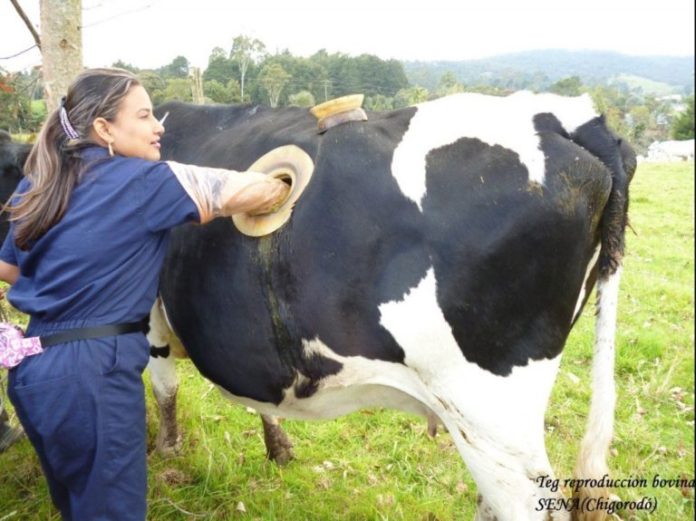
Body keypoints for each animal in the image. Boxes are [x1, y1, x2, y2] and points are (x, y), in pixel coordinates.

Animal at [145, 91, 636, 521]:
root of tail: (568, 117)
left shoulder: (149, 317)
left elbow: (165, 386)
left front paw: (166, 453)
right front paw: (278, 447)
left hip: (490, 416)